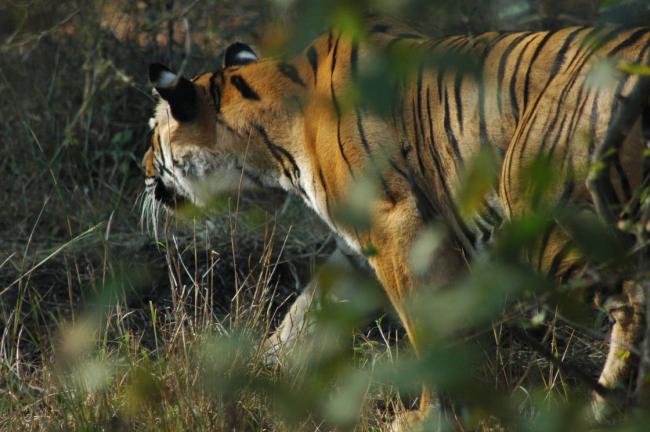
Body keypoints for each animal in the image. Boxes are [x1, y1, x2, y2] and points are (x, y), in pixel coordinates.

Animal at [142, 20, 650, 427]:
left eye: (152, 136)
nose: (143, 169)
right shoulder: (354, 249)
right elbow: (303, 314)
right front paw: (261, 371)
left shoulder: (397, 225)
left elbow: (425, 324)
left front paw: (428, 416)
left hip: (547, 214)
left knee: (631, 300)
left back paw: (604, 408)